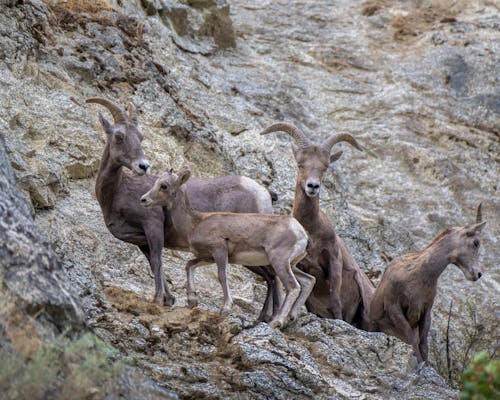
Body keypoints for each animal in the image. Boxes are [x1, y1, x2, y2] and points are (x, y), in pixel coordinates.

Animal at [88, 98, 280, 314]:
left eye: (140, 137)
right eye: (119, 136)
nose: (143, 166)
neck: (119, 191)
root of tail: (263, 193)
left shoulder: (152, 226)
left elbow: (157, 261)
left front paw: (158, 300)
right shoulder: (142, 241)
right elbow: (154, 264)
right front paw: (169, 299)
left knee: (275, 276)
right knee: (271, 276)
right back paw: (265, 317)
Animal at [140, 166, 316, 328]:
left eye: (164, 185)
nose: (143, 200)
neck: (195, 223)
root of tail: (301, 233)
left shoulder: (219, 251)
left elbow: (221, 276)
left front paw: (225, 309)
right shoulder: (207, 257)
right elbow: (189, 265)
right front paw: (192, 301)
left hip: (279, 262)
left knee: (293, 287)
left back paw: (276, 322)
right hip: (289, 265)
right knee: (308, 281)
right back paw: (291, 318)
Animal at [262, 123, 376, 330]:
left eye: (325, 167)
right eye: (301, 164)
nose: (313, 186)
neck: (312, 231)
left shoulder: (334, 259)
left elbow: (335, 298)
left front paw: (338, 321)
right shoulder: (302, 265)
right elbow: (309, 301)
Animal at [372, 205, 484, 364]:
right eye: (476, 242)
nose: (478, 274)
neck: (418, 275)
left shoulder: (426, 310)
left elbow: (423, 344)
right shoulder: (394, 307)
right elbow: (411, 340)